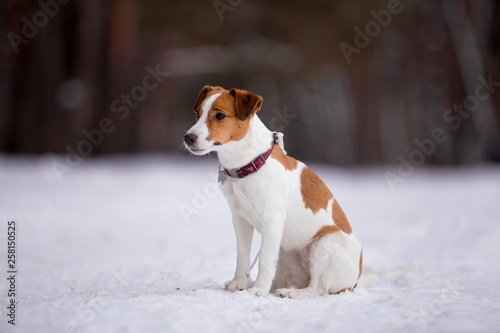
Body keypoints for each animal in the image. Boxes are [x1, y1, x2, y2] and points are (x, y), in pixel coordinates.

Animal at [182, 85, 362, 298]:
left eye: (219, 115)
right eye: (197, 114)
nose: (188, 137)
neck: (248, 164)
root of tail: (355, 281)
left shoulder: (272, 220)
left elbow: (265, 261)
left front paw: (258, 291)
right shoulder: (240, 220)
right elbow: (243, 256)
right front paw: (239, 283)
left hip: (324, 243)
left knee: (317, 288)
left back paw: (292, 293)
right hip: (284, 248)